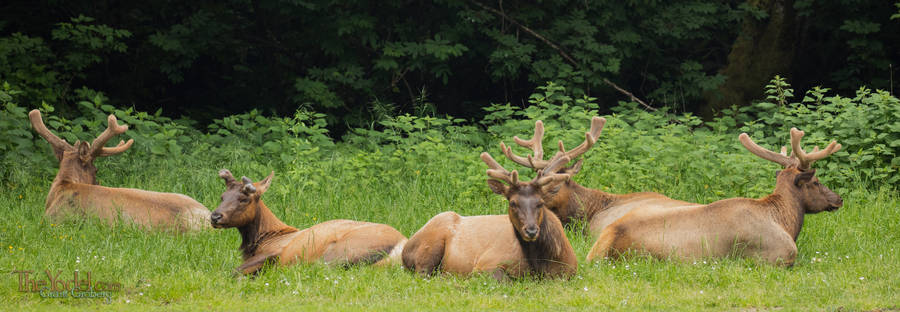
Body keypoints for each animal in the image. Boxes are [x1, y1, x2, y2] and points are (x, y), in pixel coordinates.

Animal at [211, 171, 408, 276]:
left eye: (244, 198)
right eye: (222, 196)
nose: (215, 216)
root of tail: (401, 246)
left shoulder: (275, 252)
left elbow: (232, 271)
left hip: (342, 251)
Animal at [400, 150, 576, 280]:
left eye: (540, 202)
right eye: (512, 203)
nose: (531, 231)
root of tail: (405, 249)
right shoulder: (485, 264)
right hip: (429, 245)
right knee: (423, 273)